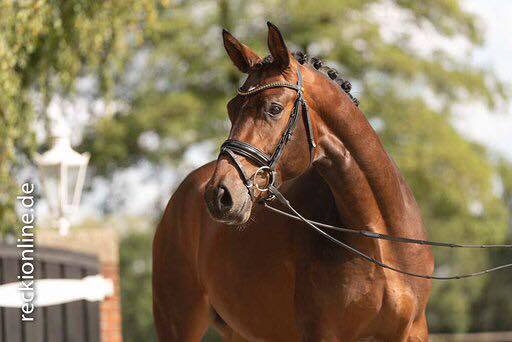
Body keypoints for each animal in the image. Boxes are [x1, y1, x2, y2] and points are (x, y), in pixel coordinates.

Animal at [152, 22, 432, 340]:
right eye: (231, 108)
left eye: (274, 108)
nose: (219, 195)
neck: (378, 237)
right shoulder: (321, 332)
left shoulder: (413, 331)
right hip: (178, 323)